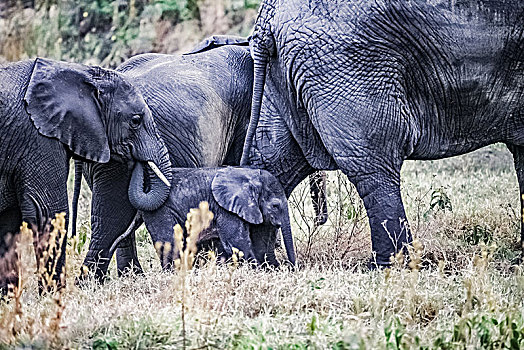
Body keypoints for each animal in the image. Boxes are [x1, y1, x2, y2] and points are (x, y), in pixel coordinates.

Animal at [0, 58, 171, 290]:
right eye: (135, 120)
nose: (136, 160)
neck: (83, 73)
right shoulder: (37, 138)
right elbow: (47, 211)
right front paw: (54, 295)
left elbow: (7, 222)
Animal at [112, 167, 294, 268]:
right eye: (275, 206)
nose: (292, 267)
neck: (250, 175)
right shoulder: (225, 209)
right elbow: (237, 244)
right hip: (159, 212)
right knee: (170, 244)